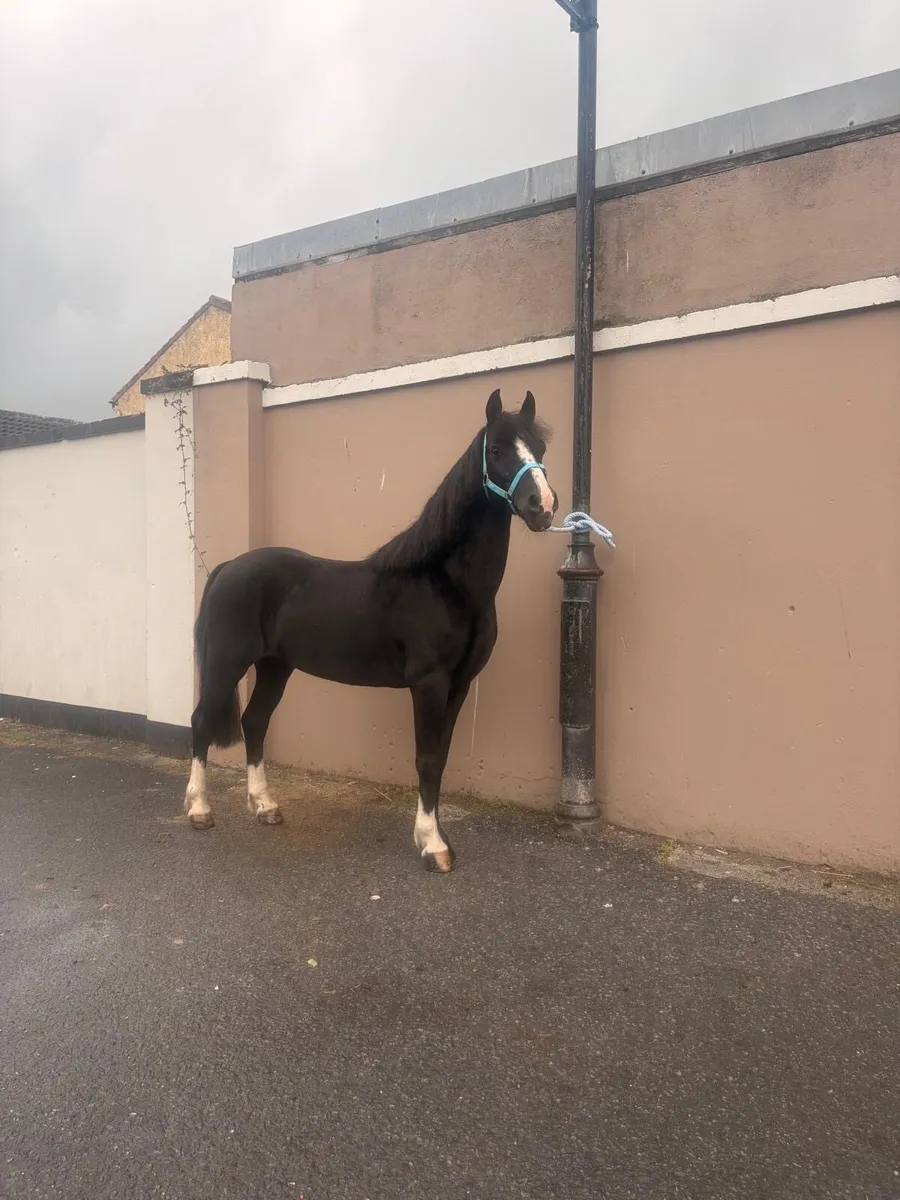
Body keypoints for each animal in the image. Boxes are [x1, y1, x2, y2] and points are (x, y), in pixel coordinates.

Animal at [184, 386, 558, 872]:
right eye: (496, 450)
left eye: (540, 449)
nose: (542, 506)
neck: (446, 582)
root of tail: (230, 566)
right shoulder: (429, 683)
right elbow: (426, 759)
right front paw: (432, 845)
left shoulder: (459, 685)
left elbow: (440, 758)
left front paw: (439, 839)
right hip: (227, 661)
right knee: (202, 720)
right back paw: (199, 810)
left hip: (274, 666)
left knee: (255, 720)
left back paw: (264, 806)